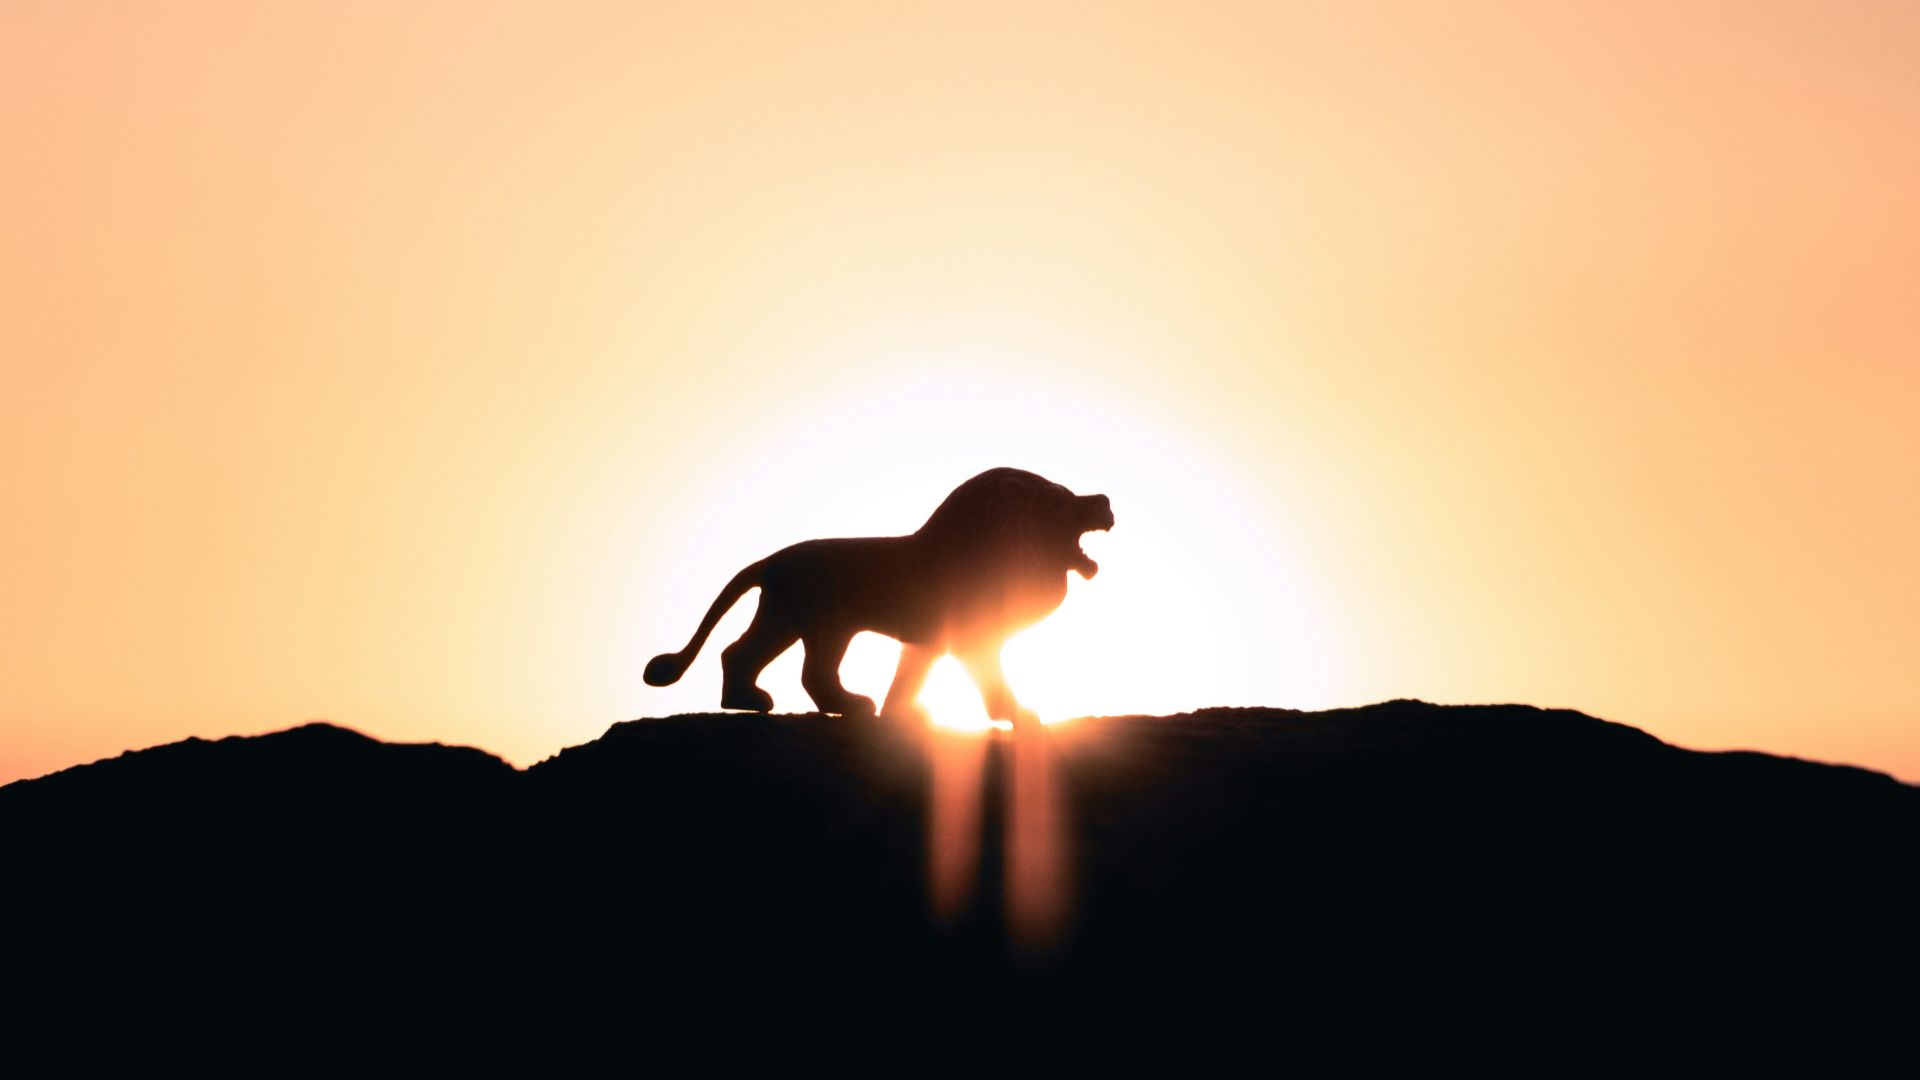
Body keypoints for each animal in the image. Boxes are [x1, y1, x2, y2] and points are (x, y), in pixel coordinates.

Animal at [644, 467, 1113, 725]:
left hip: (794, 619)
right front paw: (1016, 714)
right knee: (802, 669)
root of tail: (770, 559)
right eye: (1060, 500)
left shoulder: (927, 643)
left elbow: (909, 678)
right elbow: (991, 679)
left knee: (752, 656)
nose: (1105, 499)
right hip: (819, 622)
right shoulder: (971, 639)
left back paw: (752, 701)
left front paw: (901, 714)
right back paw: (837, 705)